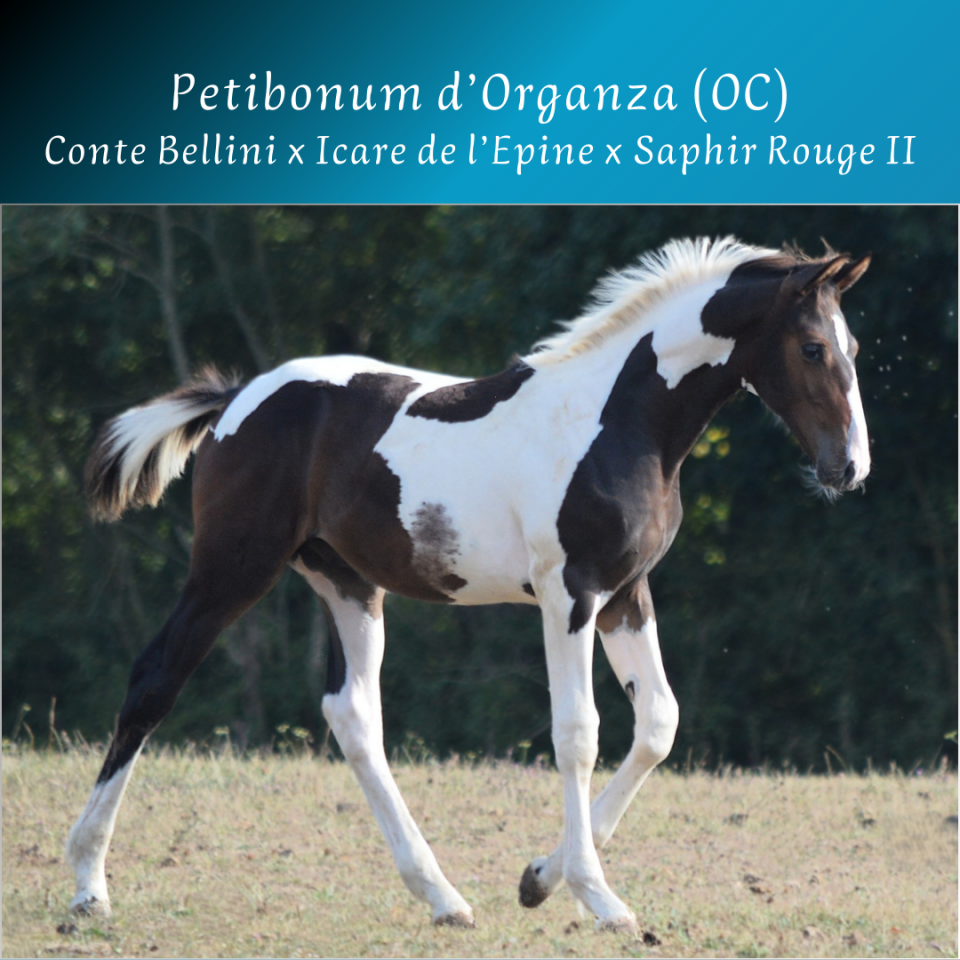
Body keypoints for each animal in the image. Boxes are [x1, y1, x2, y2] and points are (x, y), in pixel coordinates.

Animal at [66, 236, 871, 932]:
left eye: (854, 349)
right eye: (811, 347)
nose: (850, 467)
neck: (618, 422)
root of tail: (236, 398)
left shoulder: (626, 595)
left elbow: (658, 723)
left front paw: (539, 879)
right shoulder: (569, 594)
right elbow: (578, 733)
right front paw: (598, 898)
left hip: (348, 584)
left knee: (352, 714)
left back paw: (443, 897)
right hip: (232, 565)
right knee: (155, 681)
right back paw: (88, 885)